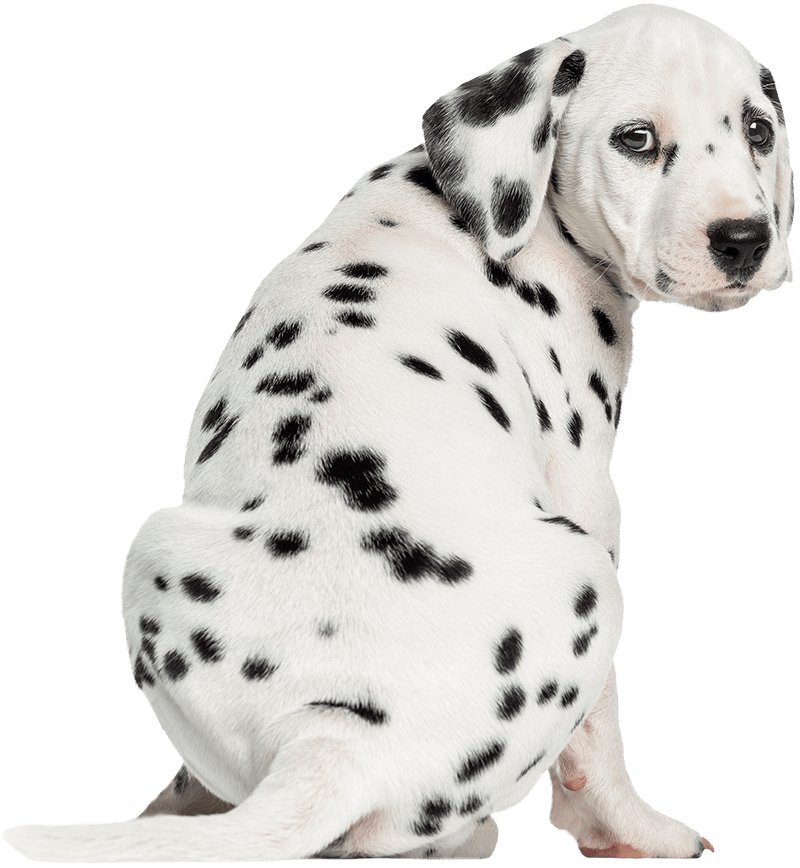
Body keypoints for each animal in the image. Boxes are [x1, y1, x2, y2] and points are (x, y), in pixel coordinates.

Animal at [4, 2, 793, 861]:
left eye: (758, 130)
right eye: (637, 139)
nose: (744, 239)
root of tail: (334, 740)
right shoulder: (589, 491)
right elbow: (599, 738)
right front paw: (634, 827)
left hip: (152, 547)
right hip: (588, 574)